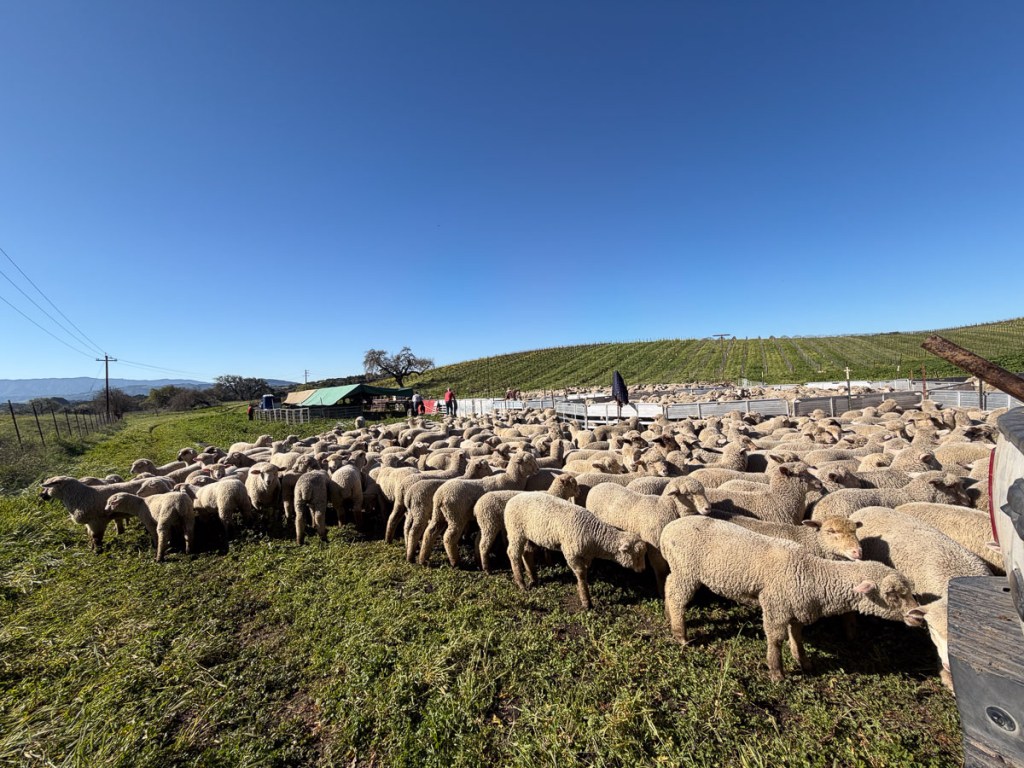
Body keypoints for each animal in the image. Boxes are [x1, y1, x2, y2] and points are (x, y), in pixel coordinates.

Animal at [503, 493, 648, 610]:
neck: (594, 536)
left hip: (528, 534)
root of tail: (512, 499)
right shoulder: (571, 553)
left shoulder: (587, 556)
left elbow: (585, 571)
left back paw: (533, 578)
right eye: (637, 555)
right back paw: (521, 583)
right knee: (513, 554)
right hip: (515, 530)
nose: (643, 570)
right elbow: (581, 574)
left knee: (526, 552)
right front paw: (586, 601)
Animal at [659, 515, 922, 680]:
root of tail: (668, 529)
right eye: (891, 594)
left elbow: (797, 636)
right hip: (687, 571)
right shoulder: (776, 607)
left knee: (668, 586)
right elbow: (776, 640)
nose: (917, 615)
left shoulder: (796, 608)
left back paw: (669, 617)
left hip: (680, 569)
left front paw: (803, 662)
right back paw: (680, 635)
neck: (811, 573)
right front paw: (777, 673)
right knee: (677, 596)